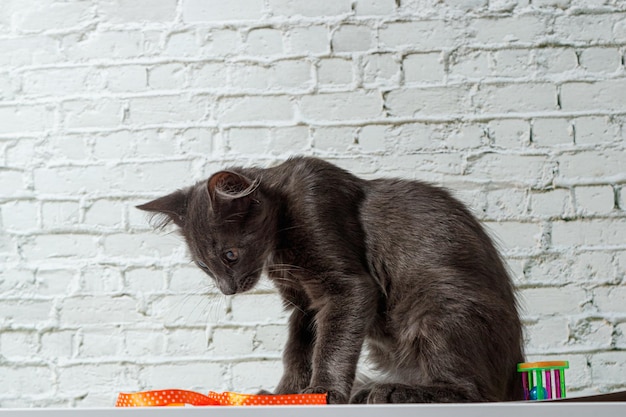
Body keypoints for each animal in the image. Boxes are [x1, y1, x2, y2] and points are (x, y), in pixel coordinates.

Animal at [139, 156, 524, 404]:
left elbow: (331, 344)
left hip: (440, 306)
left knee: (474, 392)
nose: (227, 289)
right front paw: (284, 394)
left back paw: (393, 391)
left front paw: (325, 391)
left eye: (230, 255)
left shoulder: (346, 284)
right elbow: (298, 351)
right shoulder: (305, 305)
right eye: (204, 266)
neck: (280, 246)